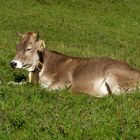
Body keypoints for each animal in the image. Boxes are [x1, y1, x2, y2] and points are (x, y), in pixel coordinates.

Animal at [10, 31, 140, 97]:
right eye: (17, 46)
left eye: (29, 48)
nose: (13, 63)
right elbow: (15, 83)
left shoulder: (64, 81)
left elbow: (45, 89)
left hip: (112, 74)